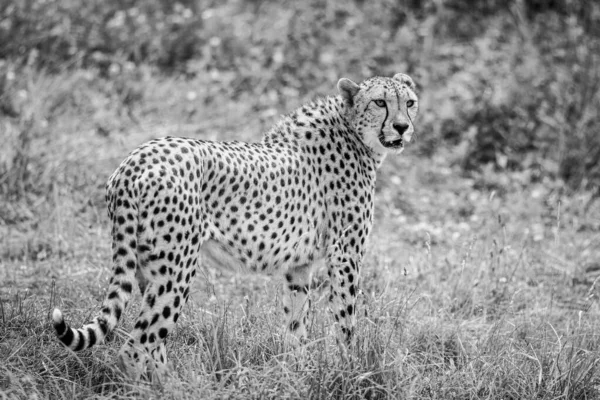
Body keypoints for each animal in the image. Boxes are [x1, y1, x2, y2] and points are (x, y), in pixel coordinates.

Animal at [52, 72, 418, 382]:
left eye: (410, 102)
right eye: (380, 102)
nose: (402, 127)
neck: (353, 133)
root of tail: (137, 157)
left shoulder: (298, 266)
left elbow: (296, 323)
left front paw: (299, 371)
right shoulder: (344, 256)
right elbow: (345, 319)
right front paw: (349, 367)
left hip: (146, 268)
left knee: (151, 341)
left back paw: (174, 383)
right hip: (177, 269)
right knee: (136, 345)